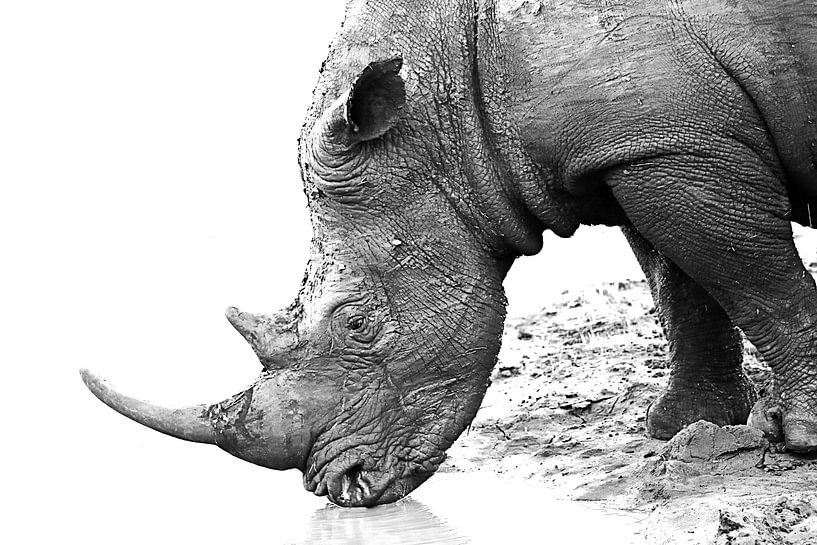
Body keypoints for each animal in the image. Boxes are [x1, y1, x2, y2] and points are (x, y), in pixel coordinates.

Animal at [82, 0, 817, 506]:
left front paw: (803, 436)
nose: (342, 487)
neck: (443, 110)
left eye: (358, 324)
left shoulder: (669, 143)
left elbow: (755, 283)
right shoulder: (639, 146)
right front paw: (681, 427)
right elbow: (681, 286)